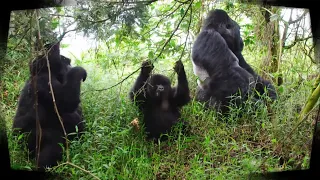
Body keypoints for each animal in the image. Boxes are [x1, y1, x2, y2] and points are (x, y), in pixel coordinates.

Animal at [12, 41, 87, 170]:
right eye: (66, 62)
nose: (70, 67)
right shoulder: (45, 81)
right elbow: (66, 100)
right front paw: (78, 70)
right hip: (28, 137)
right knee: (53, 143)